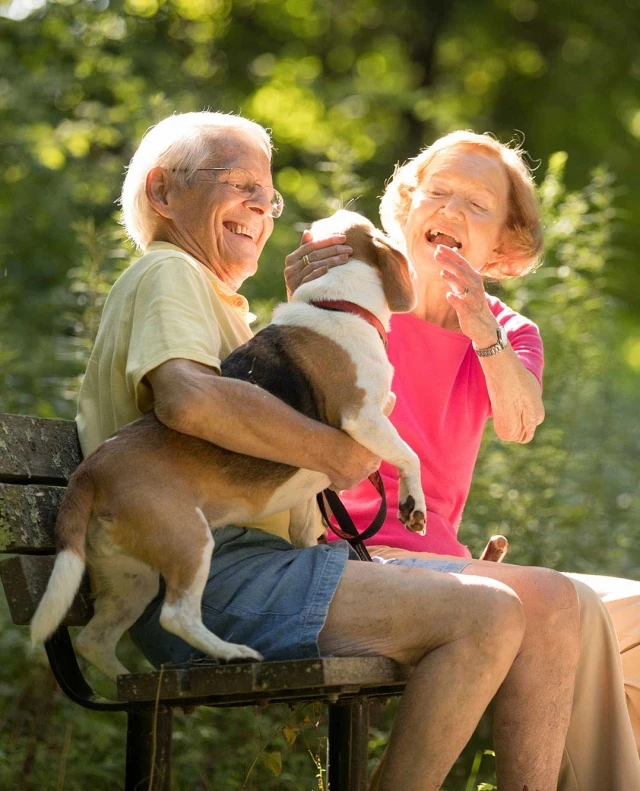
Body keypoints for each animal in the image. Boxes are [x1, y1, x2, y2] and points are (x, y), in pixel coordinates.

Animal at [32, 212, 428, 680]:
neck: (334, 303)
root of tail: (88, 472)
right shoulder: (363, 417)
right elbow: (409, 456)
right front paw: (413, 505)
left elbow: (304, 527)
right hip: (187, 539)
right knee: (176, 615)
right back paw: (230, 652)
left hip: (132, 578)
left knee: (95, 640)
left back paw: (127, 681)